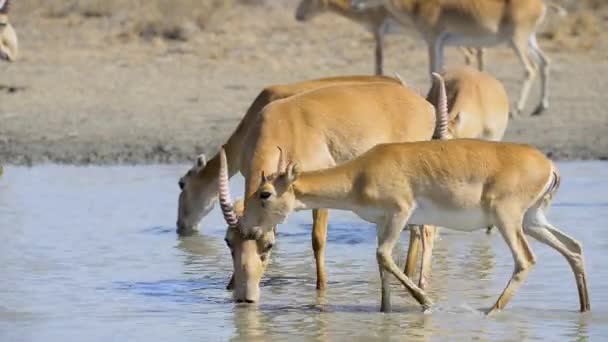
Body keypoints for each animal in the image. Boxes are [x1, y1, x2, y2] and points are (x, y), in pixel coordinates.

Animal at [222, 138, 588, 312]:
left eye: (265, 193)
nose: (248, 229)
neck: (359, 174)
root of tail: (549, 165)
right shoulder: (384, 223)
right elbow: (381, 264)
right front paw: (386, 311)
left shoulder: (400, 214)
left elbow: (384, 256)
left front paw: (426, 302)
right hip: (533, 220)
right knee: (573, 247)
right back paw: (585, 309)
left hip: (508, 220)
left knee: (525, 260)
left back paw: (490, 312)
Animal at [350, 0, 568, 116]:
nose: (354, 4)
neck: (418, 5)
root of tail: (542, 4)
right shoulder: (441, 44)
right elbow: (439, 71)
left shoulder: (433, 41)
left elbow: (432, 71)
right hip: (530, 40)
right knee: (545, 62)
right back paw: (540, 107)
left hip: (517, 40)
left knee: (530, 68)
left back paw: (517, 110)